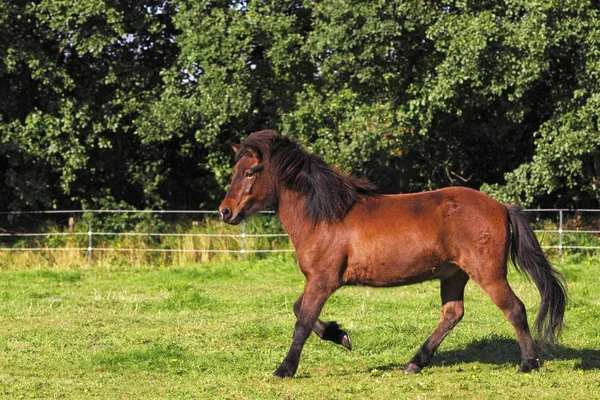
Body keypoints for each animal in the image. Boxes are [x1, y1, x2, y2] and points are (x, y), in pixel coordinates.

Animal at [218, 130, 564, 378]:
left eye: (250, 172)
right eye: (236, 170)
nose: (225, 212)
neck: (324, 215)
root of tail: (502, 207)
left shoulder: (322, 280)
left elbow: (302, 322)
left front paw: (284, 369)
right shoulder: (318, 280)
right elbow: (299, 311)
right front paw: (340, 335)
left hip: (487, 273)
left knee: (514, 308)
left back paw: (528, 363)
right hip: (454, 275)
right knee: (452, 314)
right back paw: (414, 363)